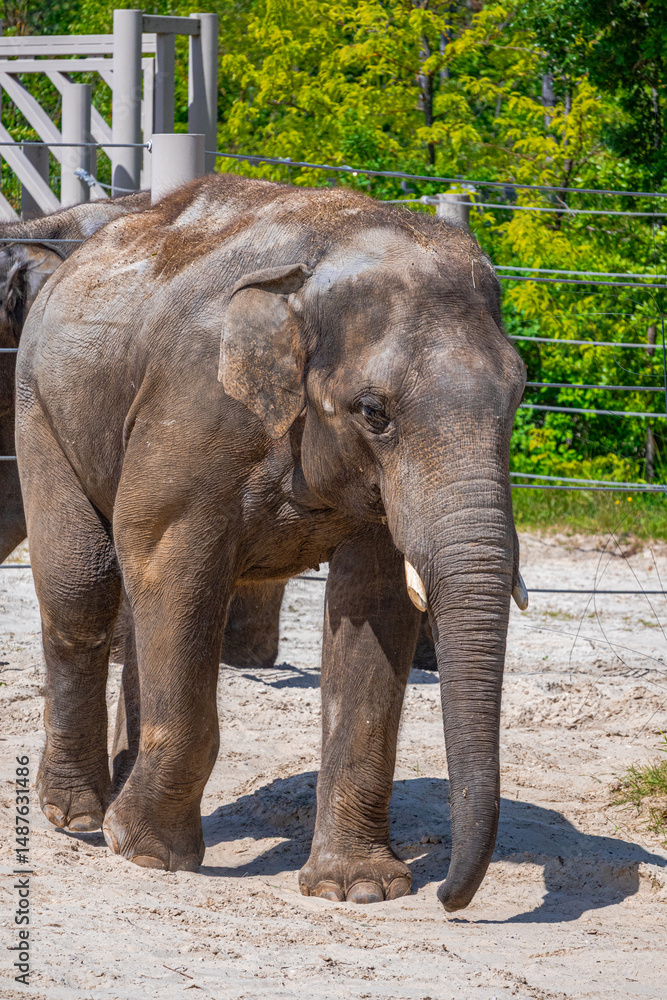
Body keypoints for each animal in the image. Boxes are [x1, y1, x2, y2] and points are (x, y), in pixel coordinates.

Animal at [16, 172, 527, 911]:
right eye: (373, 412)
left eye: (517, 400)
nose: (446, 900)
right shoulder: (196, 405)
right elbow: (170, 560)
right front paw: (148, 854)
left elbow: (373, 607)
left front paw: (359, 890)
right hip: (43, 409)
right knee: (84, 589)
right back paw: (78, 817)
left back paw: (117, 790)